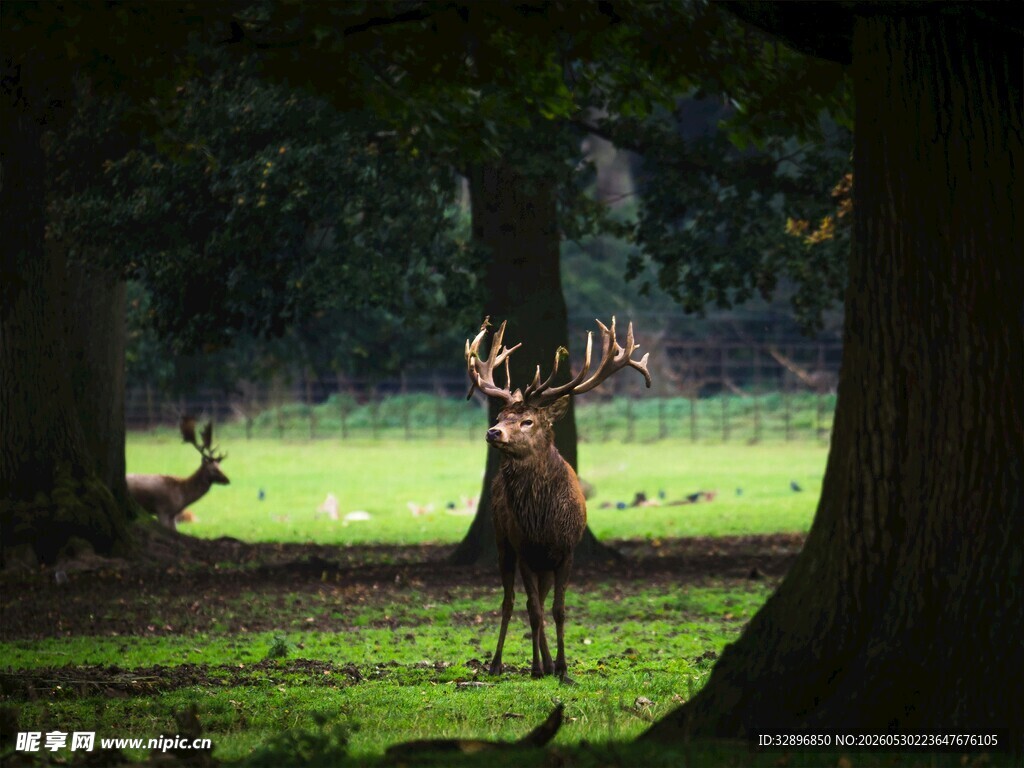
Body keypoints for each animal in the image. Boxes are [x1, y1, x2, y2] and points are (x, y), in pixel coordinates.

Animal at [465, 316, 651, 683]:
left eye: (528, 420)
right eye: (499, 417)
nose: (493, 432)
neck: (541, 522)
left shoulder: (566, 550)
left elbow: (559, 610)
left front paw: (563, 668)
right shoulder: (524, 548)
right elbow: (534, 610)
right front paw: (537, 668)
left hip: (544, 563)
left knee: (538, 599)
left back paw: (549, 663)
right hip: (503, 541)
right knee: (510, 602)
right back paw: (499, 663)